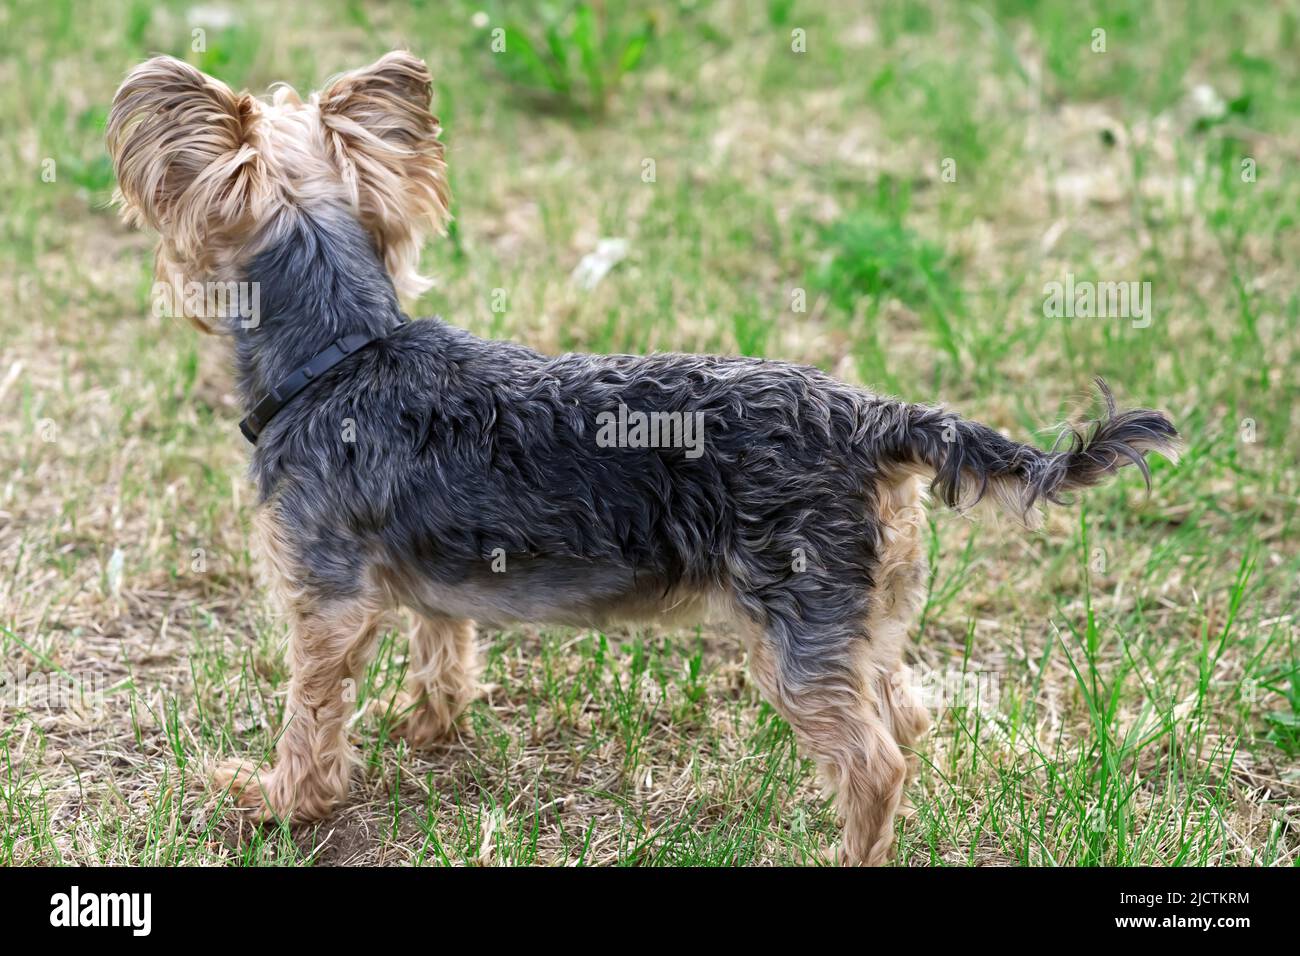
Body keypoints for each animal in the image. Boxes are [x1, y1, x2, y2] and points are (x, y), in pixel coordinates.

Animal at [106, 48, 1175, 863]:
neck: (340, 354)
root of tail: (873, 416)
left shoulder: (323, 593)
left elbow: (310, 709)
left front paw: (278, 797)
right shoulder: (431, 577)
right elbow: (444, 647)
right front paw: (427, 729)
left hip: (795, 622)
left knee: (876, 759)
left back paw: (850, 849)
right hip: (864, 604)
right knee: (904, 713)